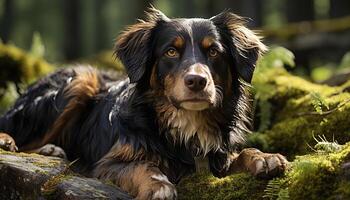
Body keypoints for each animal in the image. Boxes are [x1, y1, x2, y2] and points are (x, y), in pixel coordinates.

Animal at [0, 8, 288, 200]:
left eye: (214, 51)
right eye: (171, 51)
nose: (197, 81)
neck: (185, 124)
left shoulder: (216, 159)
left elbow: (241, 154)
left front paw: (263, 157)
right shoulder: (109, 163)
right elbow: (143, 166)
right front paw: (158, 186)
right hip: (79, 82)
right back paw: (13, 141)